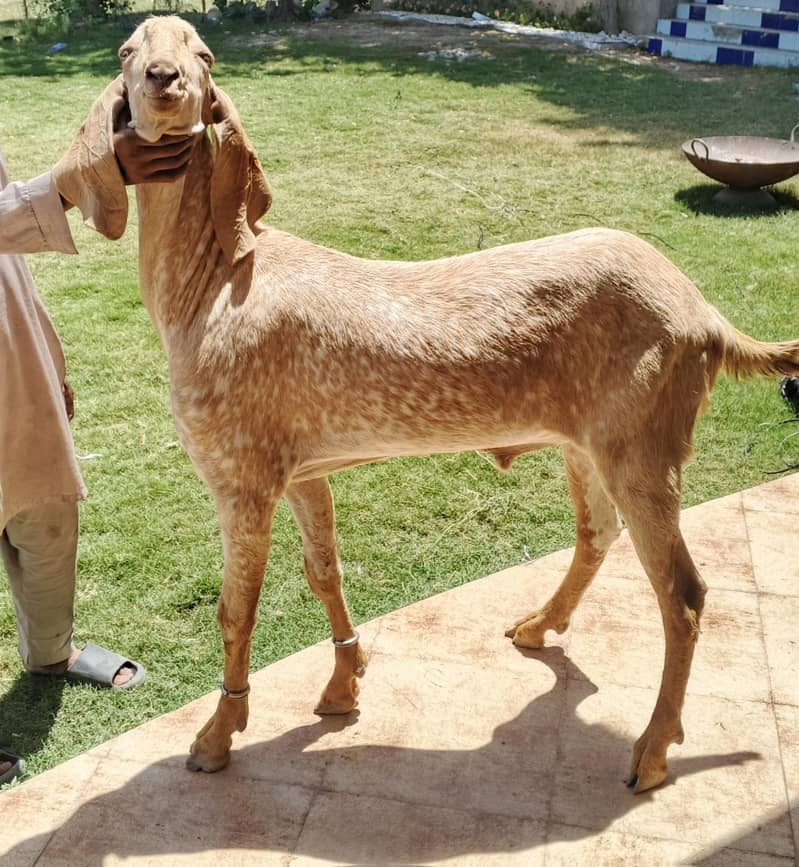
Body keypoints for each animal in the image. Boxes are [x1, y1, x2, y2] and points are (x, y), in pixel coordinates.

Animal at [54, 15, 799, 792]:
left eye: (200, 53)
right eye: (128, 51)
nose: (164, 80)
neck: (214, 283)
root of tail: (704, 315)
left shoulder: (239, 471)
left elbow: (236, 611)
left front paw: (216, 734)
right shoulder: (302, 467)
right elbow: (324, 570)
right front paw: (344, 682)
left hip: (645, 443)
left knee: (682, 593)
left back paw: (651, 751)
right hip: (591, 443)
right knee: (599, 534)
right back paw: (537, 626)